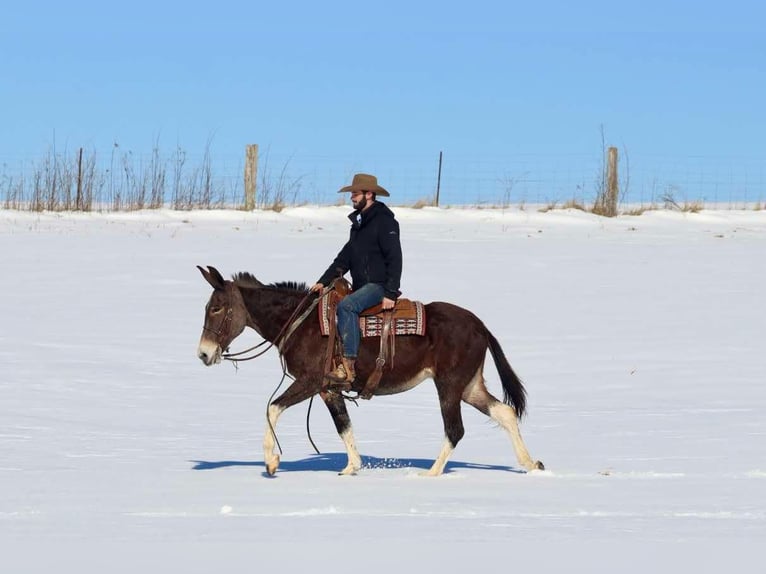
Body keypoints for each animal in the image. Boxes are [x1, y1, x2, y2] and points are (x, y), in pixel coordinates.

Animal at [198, 268, 544, 480]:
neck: (301, 323)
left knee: (455, 429)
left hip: (449, 385)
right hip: (469, 386)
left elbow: (272, 408)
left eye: (216, 308)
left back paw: (430, 474)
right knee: (505, 413)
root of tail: (480, 325)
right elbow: (344, 426)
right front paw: (352, 467)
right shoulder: (329, 389)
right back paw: (531, 464)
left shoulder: (311, 381)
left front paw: (271, 462)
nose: (203, 353)